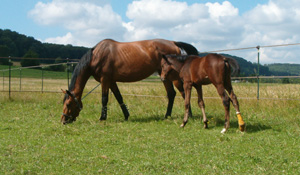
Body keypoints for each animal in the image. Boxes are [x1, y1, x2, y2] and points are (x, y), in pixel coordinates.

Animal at [61, 39, 198, 123]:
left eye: (68, 104)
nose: (63, 120)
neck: (96, 56)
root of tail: (173, 43)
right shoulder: (111, 81)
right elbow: (119, 97)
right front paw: (126, 115)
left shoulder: (105, 80)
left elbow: (104, 99)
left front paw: (102, 118)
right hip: (164, 75)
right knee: (171, 94)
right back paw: (167, 116)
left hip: (174, 77)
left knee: (184, 93)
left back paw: (189, 115)